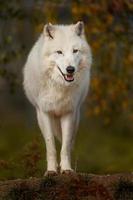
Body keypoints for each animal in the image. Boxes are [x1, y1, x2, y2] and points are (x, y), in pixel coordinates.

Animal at [23, 21, 91, 174]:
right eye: (59, 52)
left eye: (75, 51)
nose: (70, 69)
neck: (60, 86)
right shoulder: (45, 113)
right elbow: (51, 146)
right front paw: (51, 171)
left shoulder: (69, 113)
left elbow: (65, 146)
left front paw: (66, 169)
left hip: (76, 118)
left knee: (70, 143)